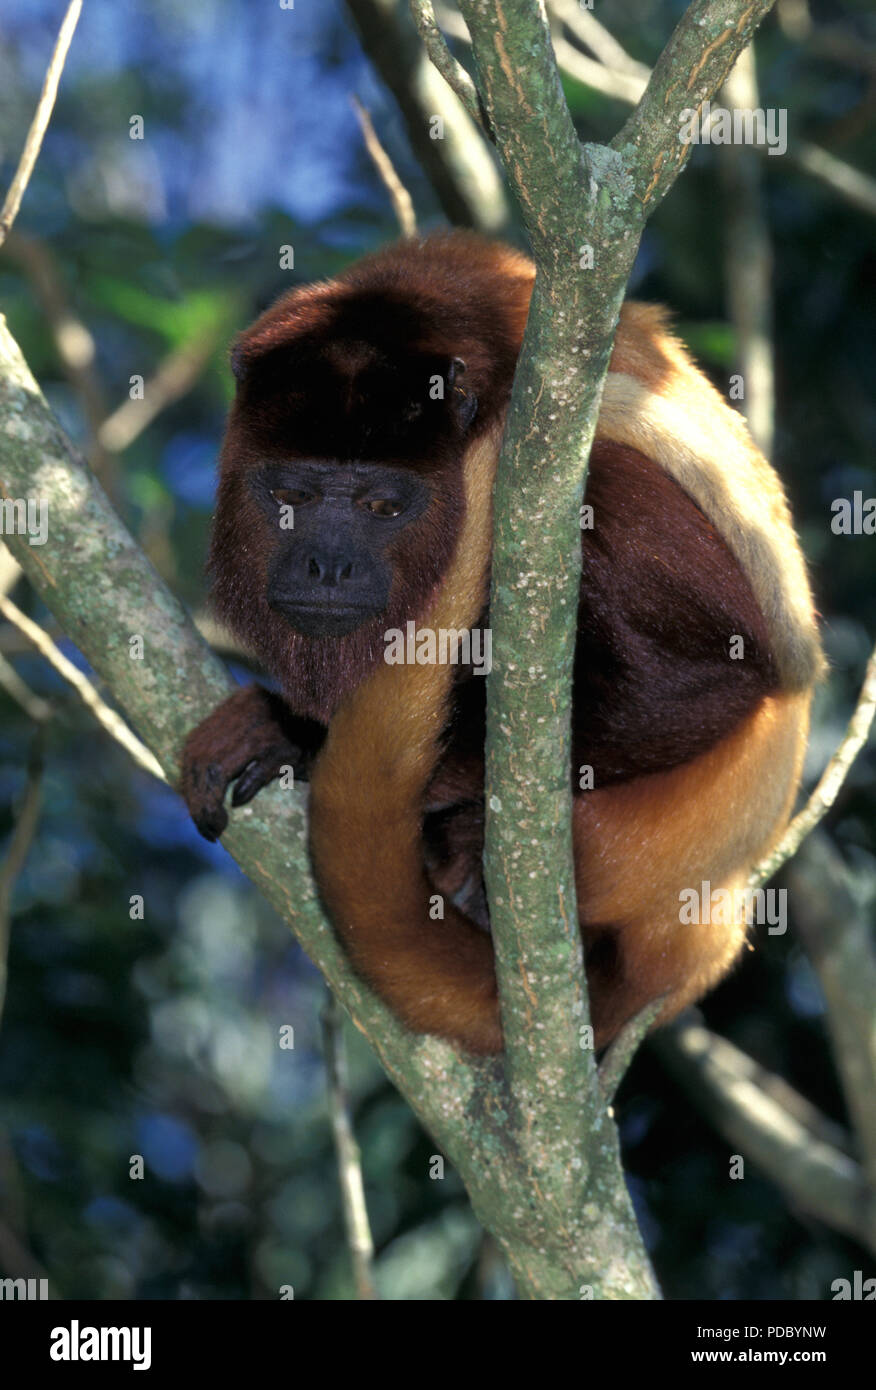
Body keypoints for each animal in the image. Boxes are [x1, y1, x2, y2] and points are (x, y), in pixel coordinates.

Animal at [182, 233, 828, 1050]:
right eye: (291, 496)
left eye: (383, 506)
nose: (327, 565)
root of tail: (703, 936)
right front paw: (282, 721)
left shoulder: (564, 456)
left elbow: (726, 675)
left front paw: (308, 738)